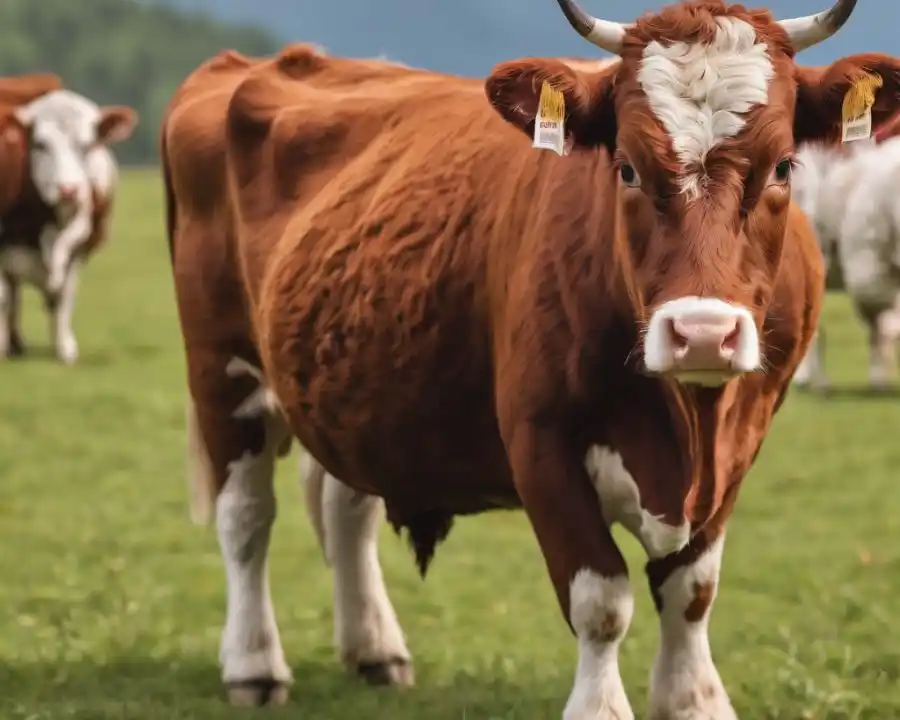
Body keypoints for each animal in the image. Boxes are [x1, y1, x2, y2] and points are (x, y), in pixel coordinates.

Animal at [0, 88, 137, 362]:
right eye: (40, 144)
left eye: (87, 145)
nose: (69, 190)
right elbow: (2, 299)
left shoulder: (77, 251)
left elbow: (62, 296)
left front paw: (64, 349)